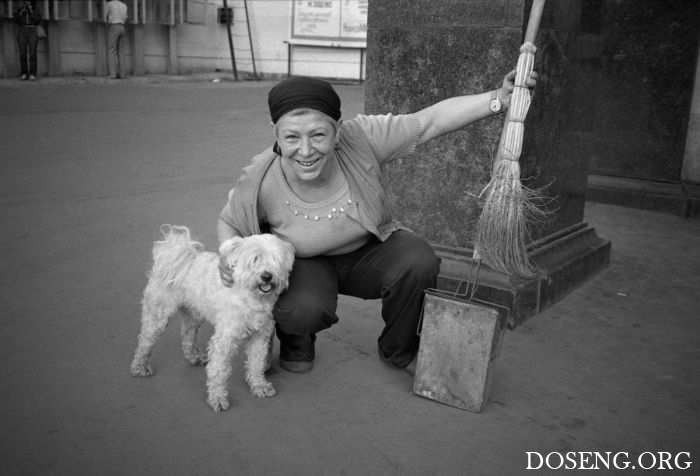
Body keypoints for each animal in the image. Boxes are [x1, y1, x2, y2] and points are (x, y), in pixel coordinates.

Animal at [130, 225, 294, 410]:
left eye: (275, 260)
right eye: (254, 259)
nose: (267, 276)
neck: (251, 297)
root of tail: (178, 253)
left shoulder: (260, 336)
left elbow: (256, 363)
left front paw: (260, 386)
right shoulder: (225, 339)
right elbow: (219, 370)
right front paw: (217, 398)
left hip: (194, 314)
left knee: (187, 335)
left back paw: (194, 357)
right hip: (158, 314)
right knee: (145, 341)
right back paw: (140, 367)